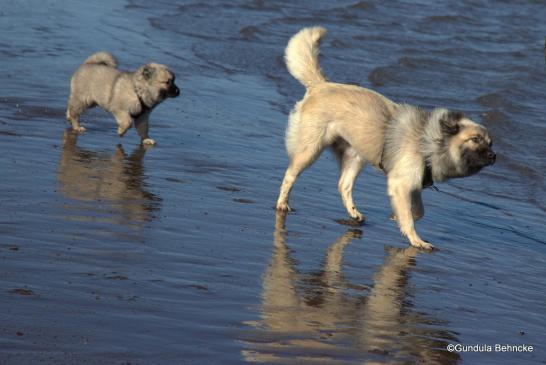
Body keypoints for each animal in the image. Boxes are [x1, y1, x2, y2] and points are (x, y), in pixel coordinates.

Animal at [276, 27, 492, 249]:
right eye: (475, 139)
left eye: (490, 143)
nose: (494, 157)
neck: (429, 142)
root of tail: (320, 85)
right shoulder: (401, 183)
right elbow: (410, 217)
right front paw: (416, 240)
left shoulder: (413, 186)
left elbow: (418, 211)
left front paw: (397, 218)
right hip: (310, 150)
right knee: (290, 175)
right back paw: (282, 204)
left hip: (355, 156)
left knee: (343, 185)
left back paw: (354, 214)